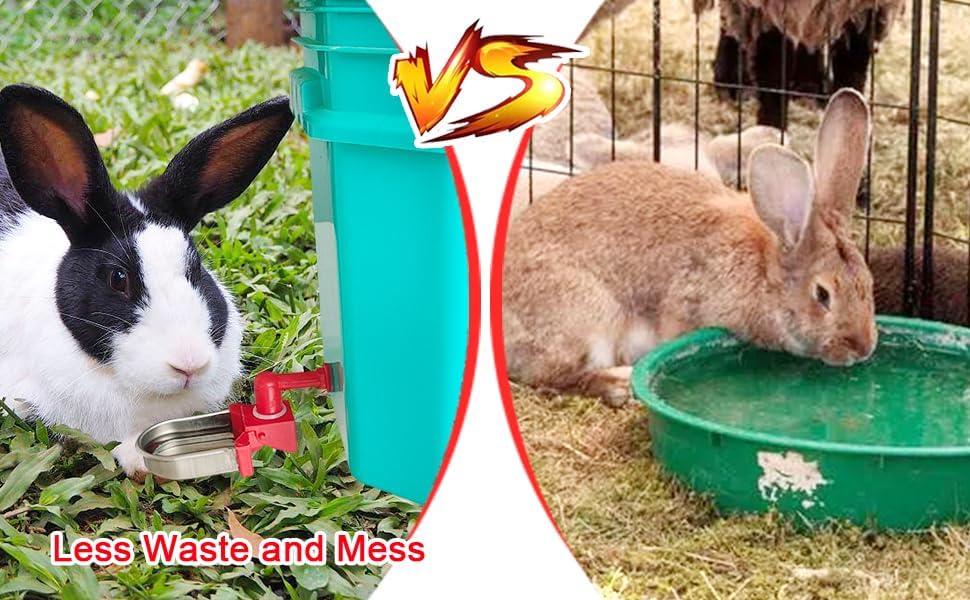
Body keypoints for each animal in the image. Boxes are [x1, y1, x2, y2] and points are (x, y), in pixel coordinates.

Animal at [503, 88, 877, 405]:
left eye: (868, 284)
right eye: (822, 295)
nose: (863, 348)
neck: (762, 272)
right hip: (587, 318)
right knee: (552, 375)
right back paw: (620, 384)